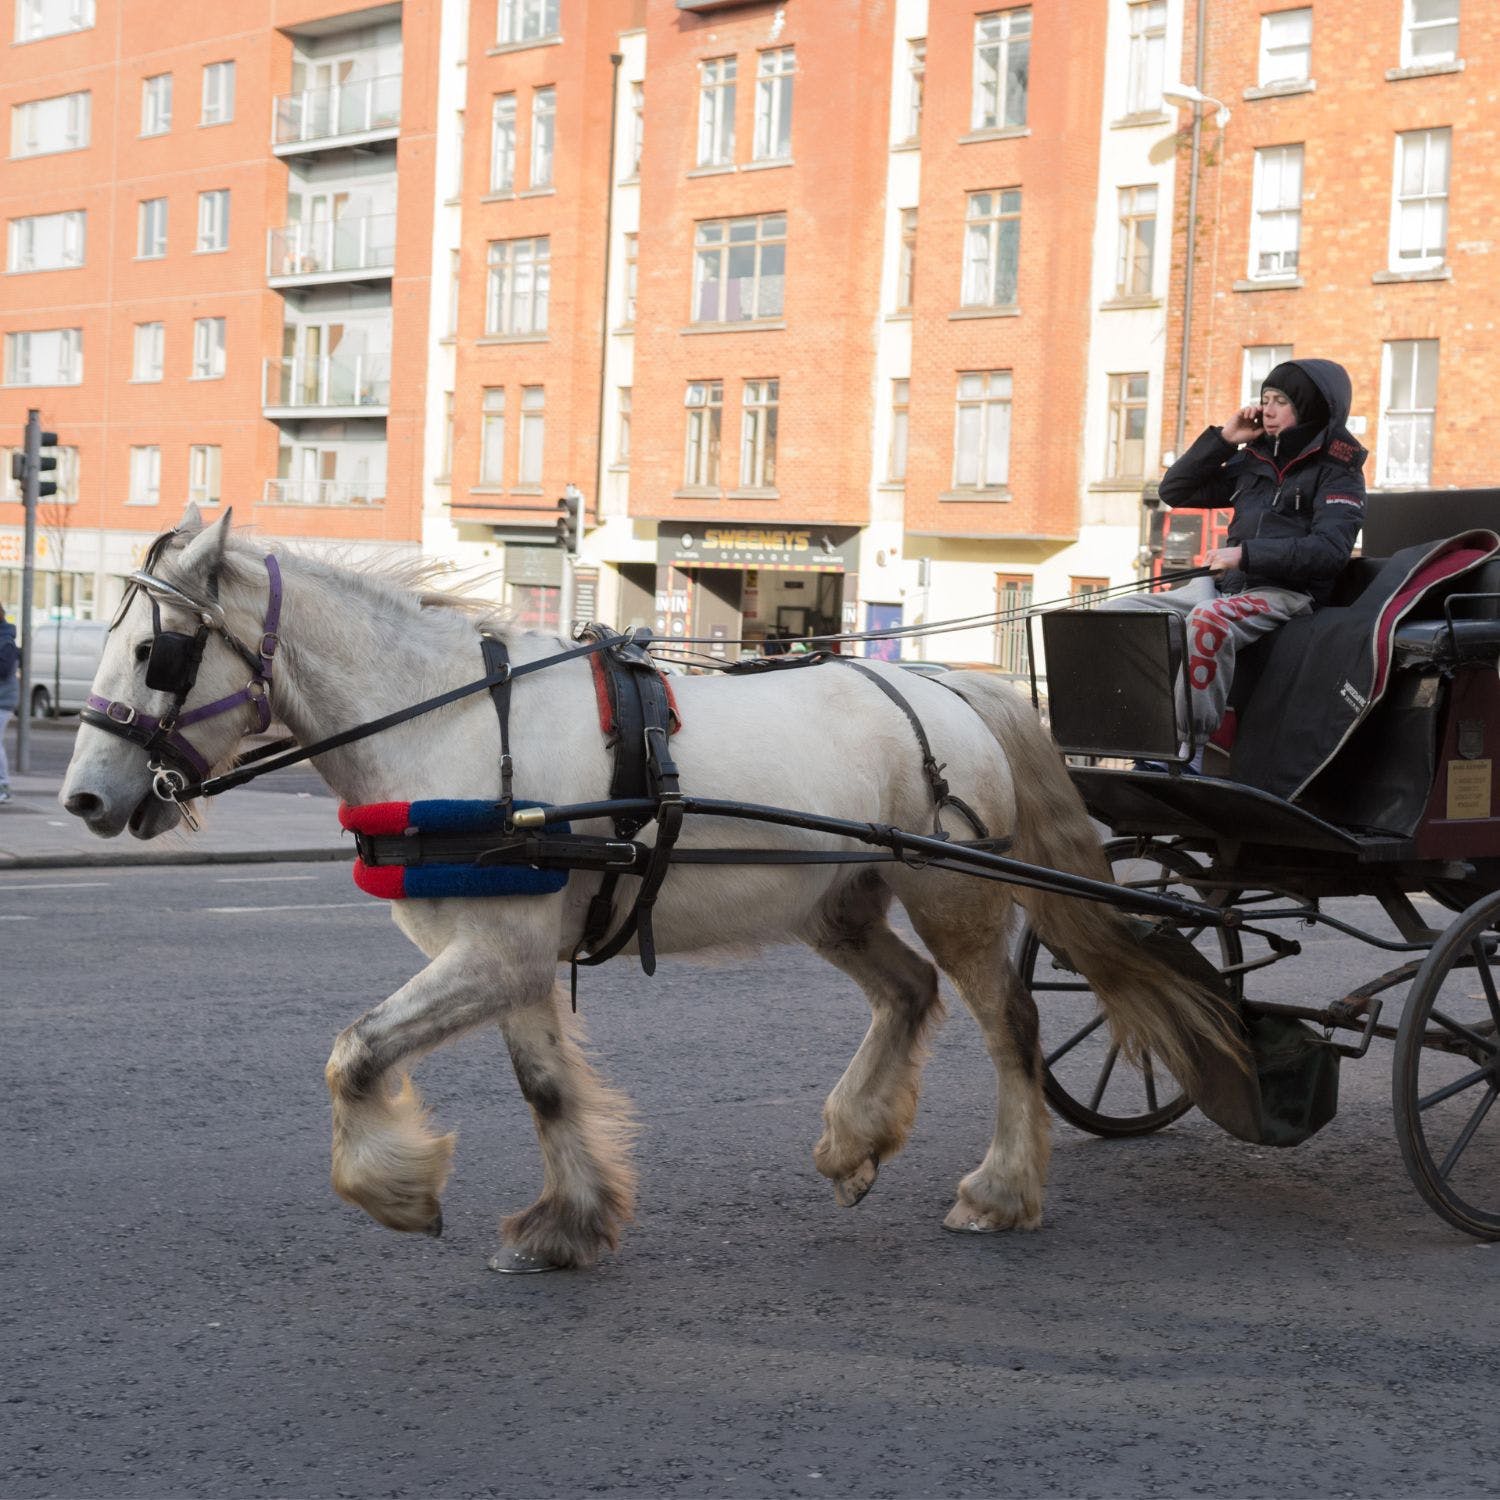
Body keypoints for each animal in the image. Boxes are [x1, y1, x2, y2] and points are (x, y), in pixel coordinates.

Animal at [61, 507, 1235, 1272]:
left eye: (160, 655)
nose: (81, 798)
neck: (452, 723)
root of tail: (951, 685)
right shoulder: (512, 953)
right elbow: (543, 1087)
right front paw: (569, 1223)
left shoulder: (494, 952)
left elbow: (356, 1052)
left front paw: (397, 1193)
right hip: (835, 899)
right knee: (907, 993)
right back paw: (855, 1141)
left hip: (956, 894)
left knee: (1011, 1025)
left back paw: (1003, 1189)